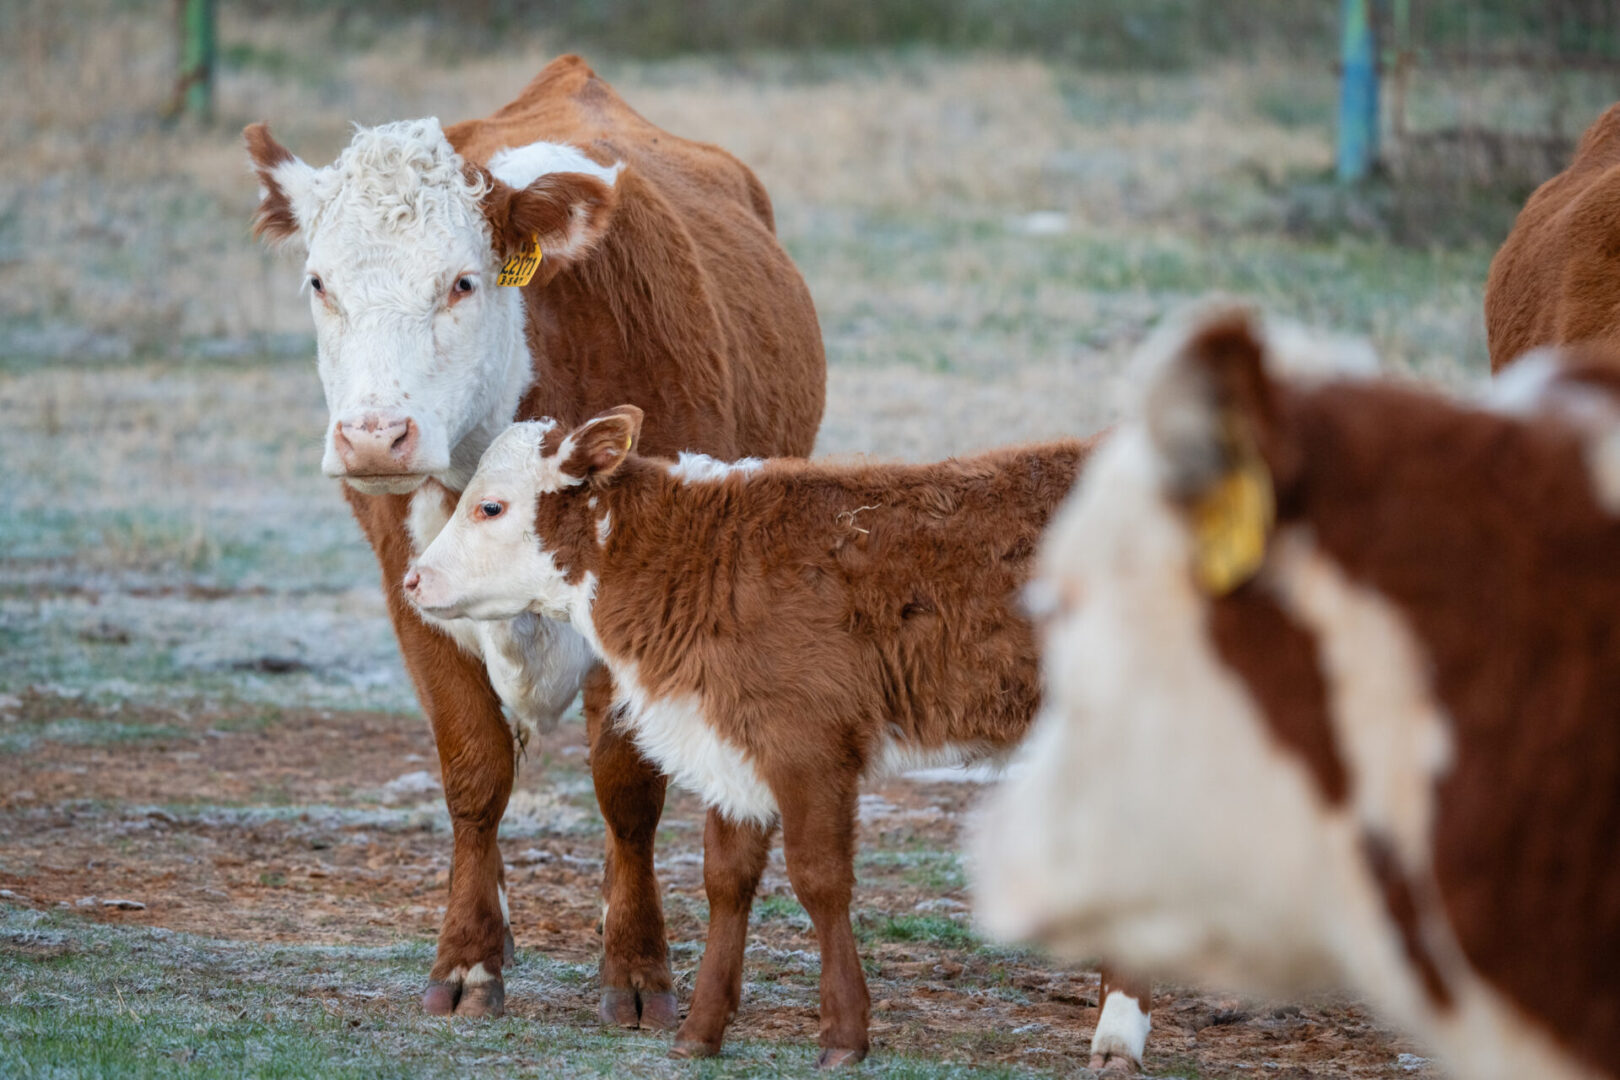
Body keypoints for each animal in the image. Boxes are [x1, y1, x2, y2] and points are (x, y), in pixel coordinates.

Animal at [246, 55, 829, 1029]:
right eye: (321, 283)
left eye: (461, 282)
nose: (374, 437)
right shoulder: (410, 587)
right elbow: (474, 772)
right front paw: (469, 959)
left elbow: (626, 788)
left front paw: (636, 968)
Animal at [401, 411, 1140, 1062]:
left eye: (491, 507)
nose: (412, 579)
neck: (696, 557)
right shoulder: (731, 746)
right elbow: (727, 880)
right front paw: (700, 1030)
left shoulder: (809, 746)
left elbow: (819, 879)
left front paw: (843, 1032)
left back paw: (1118, 1036)